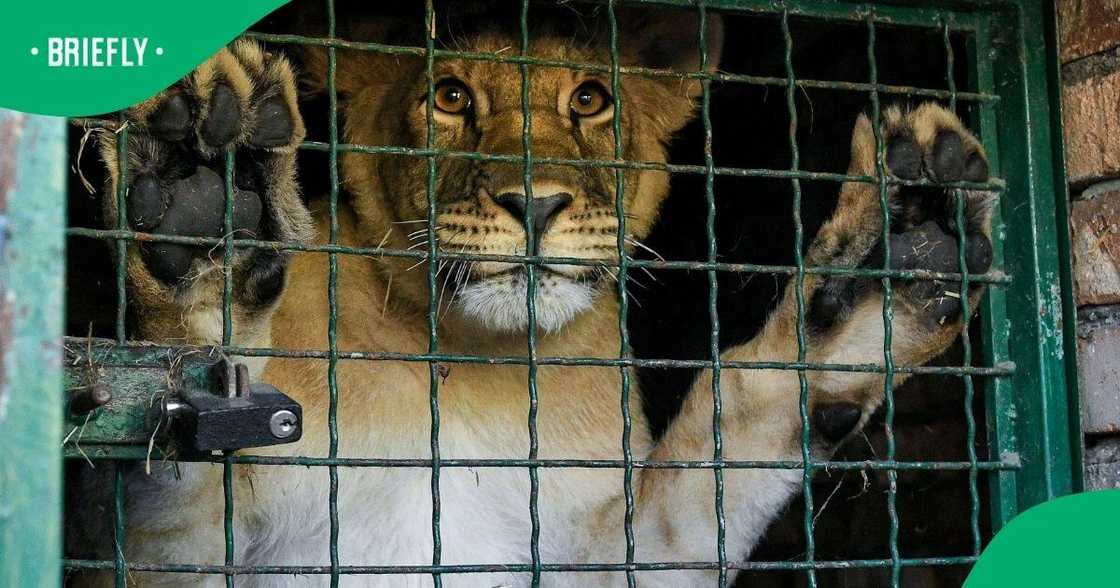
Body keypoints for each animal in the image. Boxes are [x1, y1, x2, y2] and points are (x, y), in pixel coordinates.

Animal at [74, 2, 994, 582]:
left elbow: (726, 441)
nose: (536, 202)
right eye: (449, 96)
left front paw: (897, 262)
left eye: (589, 99)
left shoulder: (607, 553)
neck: (474, 357)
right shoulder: (161, 556)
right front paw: (200, 219)